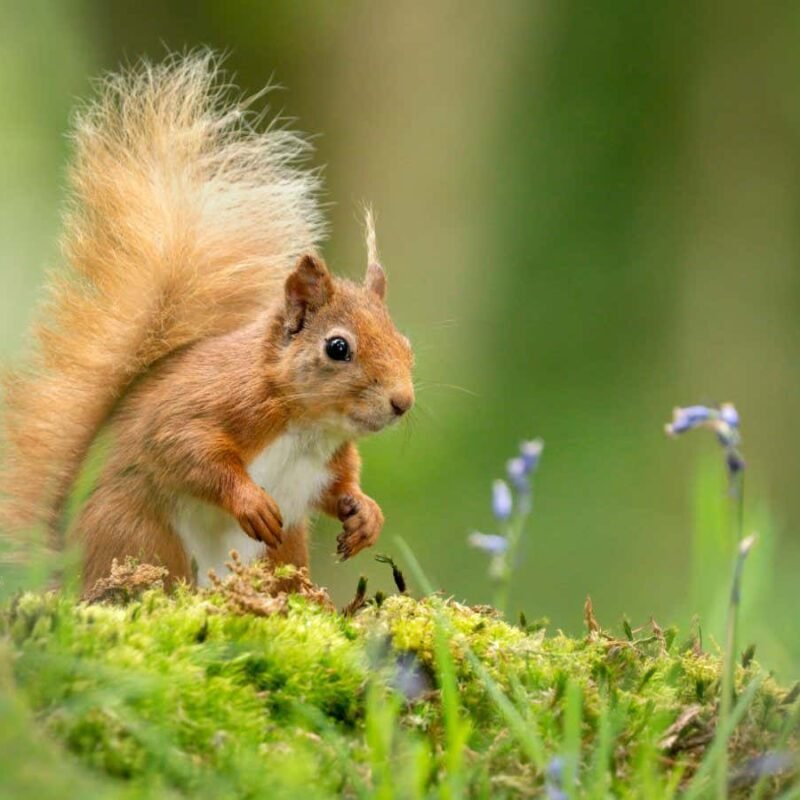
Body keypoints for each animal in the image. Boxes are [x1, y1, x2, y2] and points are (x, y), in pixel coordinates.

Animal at [0, 54, 414, 591]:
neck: (308, 426)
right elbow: (186, 448)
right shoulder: (209, 402)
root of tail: (67, 575)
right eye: (337, 347)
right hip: (138, 531)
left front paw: (365, 515)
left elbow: (340, 488)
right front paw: (250, 501)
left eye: (406, 345)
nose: (403, 402)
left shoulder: (328, 464)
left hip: (281, 549)